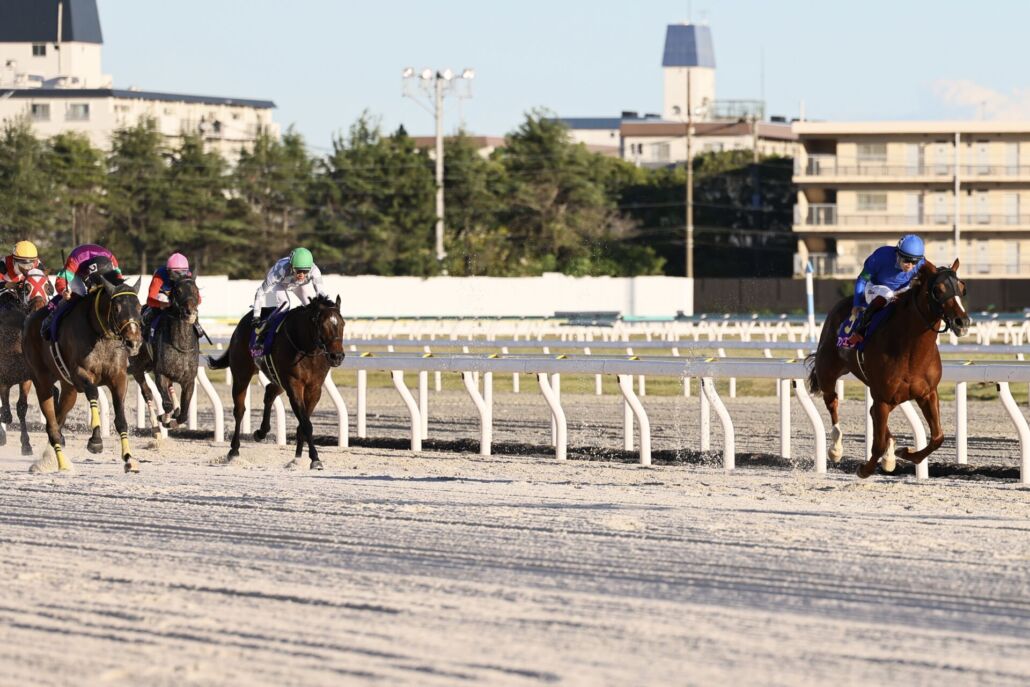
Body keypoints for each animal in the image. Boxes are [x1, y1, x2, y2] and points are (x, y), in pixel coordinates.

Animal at [0, 269, 53, 454]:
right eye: (26, 287)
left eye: (47, 286)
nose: (38, 307)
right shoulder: (3, 374)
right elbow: (5, 409)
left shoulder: (27, 375)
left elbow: (21, 407)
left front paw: (26, 444)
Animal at [22, 273, 144, 473]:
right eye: (117, 308)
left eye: (139, 307)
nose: (133, 342)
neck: (100, 334)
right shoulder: (81, 374)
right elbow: (93, 393)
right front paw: (95, 440)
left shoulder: (119, 377)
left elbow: (121, 417)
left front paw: (128, 457)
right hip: (41, 380)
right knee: (52, 424)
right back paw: (61, 464)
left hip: (68, 389)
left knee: (58, 418)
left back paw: (49, 457)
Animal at [128, 274, 201, 435]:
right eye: (178, 291)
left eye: (196, 290)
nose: (190, 312)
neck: (181, 344)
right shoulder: (160, 374)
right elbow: (166, 404)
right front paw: (164, 418)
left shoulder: (189, 381)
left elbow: (184, 413)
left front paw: (173, 419)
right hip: (137, 368)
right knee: (147, 393)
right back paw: (156, 425)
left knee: (170, 390)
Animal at [207, 295, 345, 469]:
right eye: (322, 324)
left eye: (342, 323)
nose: (337, 356)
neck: (306, 348)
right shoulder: (294, 385)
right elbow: (306, 424)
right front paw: (315, 458)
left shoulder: (314, 388)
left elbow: (303, 423)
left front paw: (298, 458)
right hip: (241, 374)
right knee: (239, 410)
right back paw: (234, 450)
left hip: (277, 380)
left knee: (269, 392)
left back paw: (261, 432)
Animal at [807, 259, 971, 478]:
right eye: (938, 289)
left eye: (962, 287)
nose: (963, 322)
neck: (910, 350)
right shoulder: (883, 397)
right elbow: (876, 444)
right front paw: (865, 469)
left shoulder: (927, 393)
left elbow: (938, 437)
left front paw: (906, 453)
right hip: (828, 372)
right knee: (832, 402)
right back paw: (836, 449)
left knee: (873, 413)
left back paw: (890, 454)